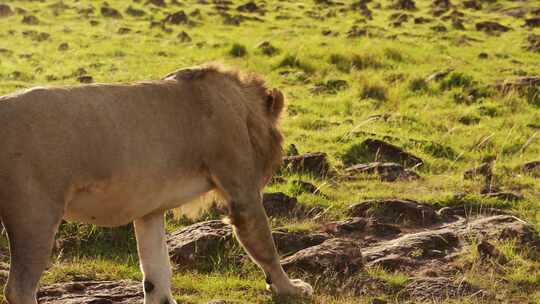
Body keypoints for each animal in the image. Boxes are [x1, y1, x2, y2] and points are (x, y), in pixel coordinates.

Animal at [0, 64, 312, 304]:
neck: (241, 106)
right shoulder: (242, 192)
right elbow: (266, 246)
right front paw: (291, 288)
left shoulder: (149, 210)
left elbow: (157, 268)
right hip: (36, 216)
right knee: (18, 288)